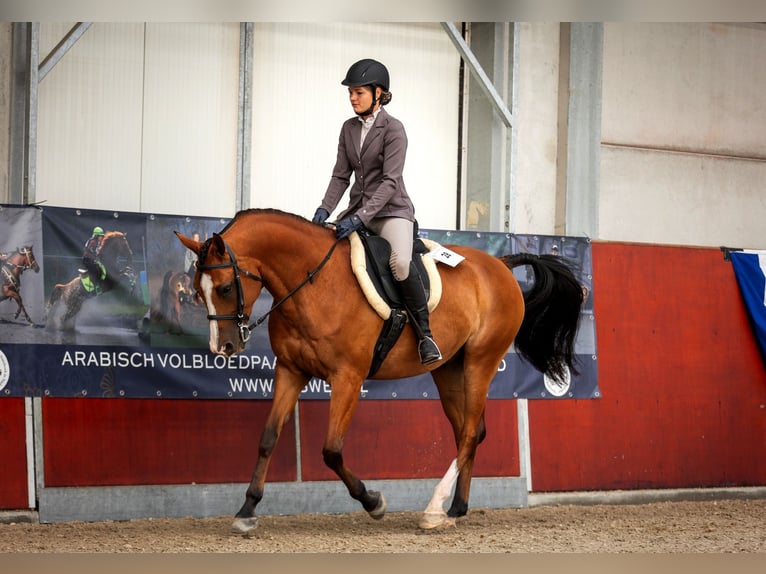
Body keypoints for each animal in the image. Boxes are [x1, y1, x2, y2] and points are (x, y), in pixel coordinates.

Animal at [175, 208, 583, 534]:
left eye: (225, 288)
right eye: (197, 290)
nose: (223, 348)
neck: (313, 283)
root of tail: (500, 265)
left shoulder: (348, 378)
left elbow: (331, 451)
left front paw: (373, 502)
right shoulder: (290, 371)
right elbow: (268, 438)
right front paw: (247, 509)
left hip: (480, 362)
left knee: (469, 433)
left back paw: (433, 509)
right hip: (448, 369)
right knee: (469, 431)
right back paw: (456, 508)